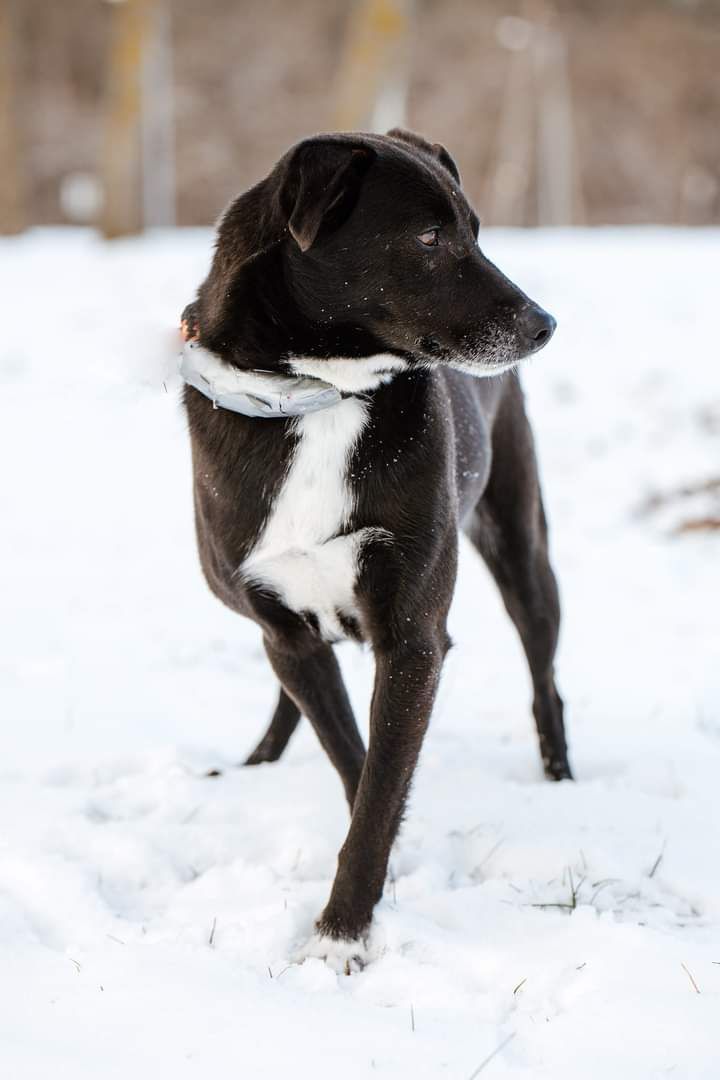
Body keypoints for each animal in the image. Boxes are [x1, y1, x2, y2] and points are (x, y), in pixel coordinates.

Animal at [180, 130, 574, 967]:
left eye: (476, 231)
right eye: (428, 239)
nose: (545, 325)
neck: (318, 395)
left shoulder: (413, 637)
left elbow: (378, 787)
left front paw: (339, 937)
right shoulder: (284, 624)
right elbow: (356, 765)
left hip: (522, 549)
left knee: (545, 678)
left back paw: (562, 778)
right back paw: (257, 762)